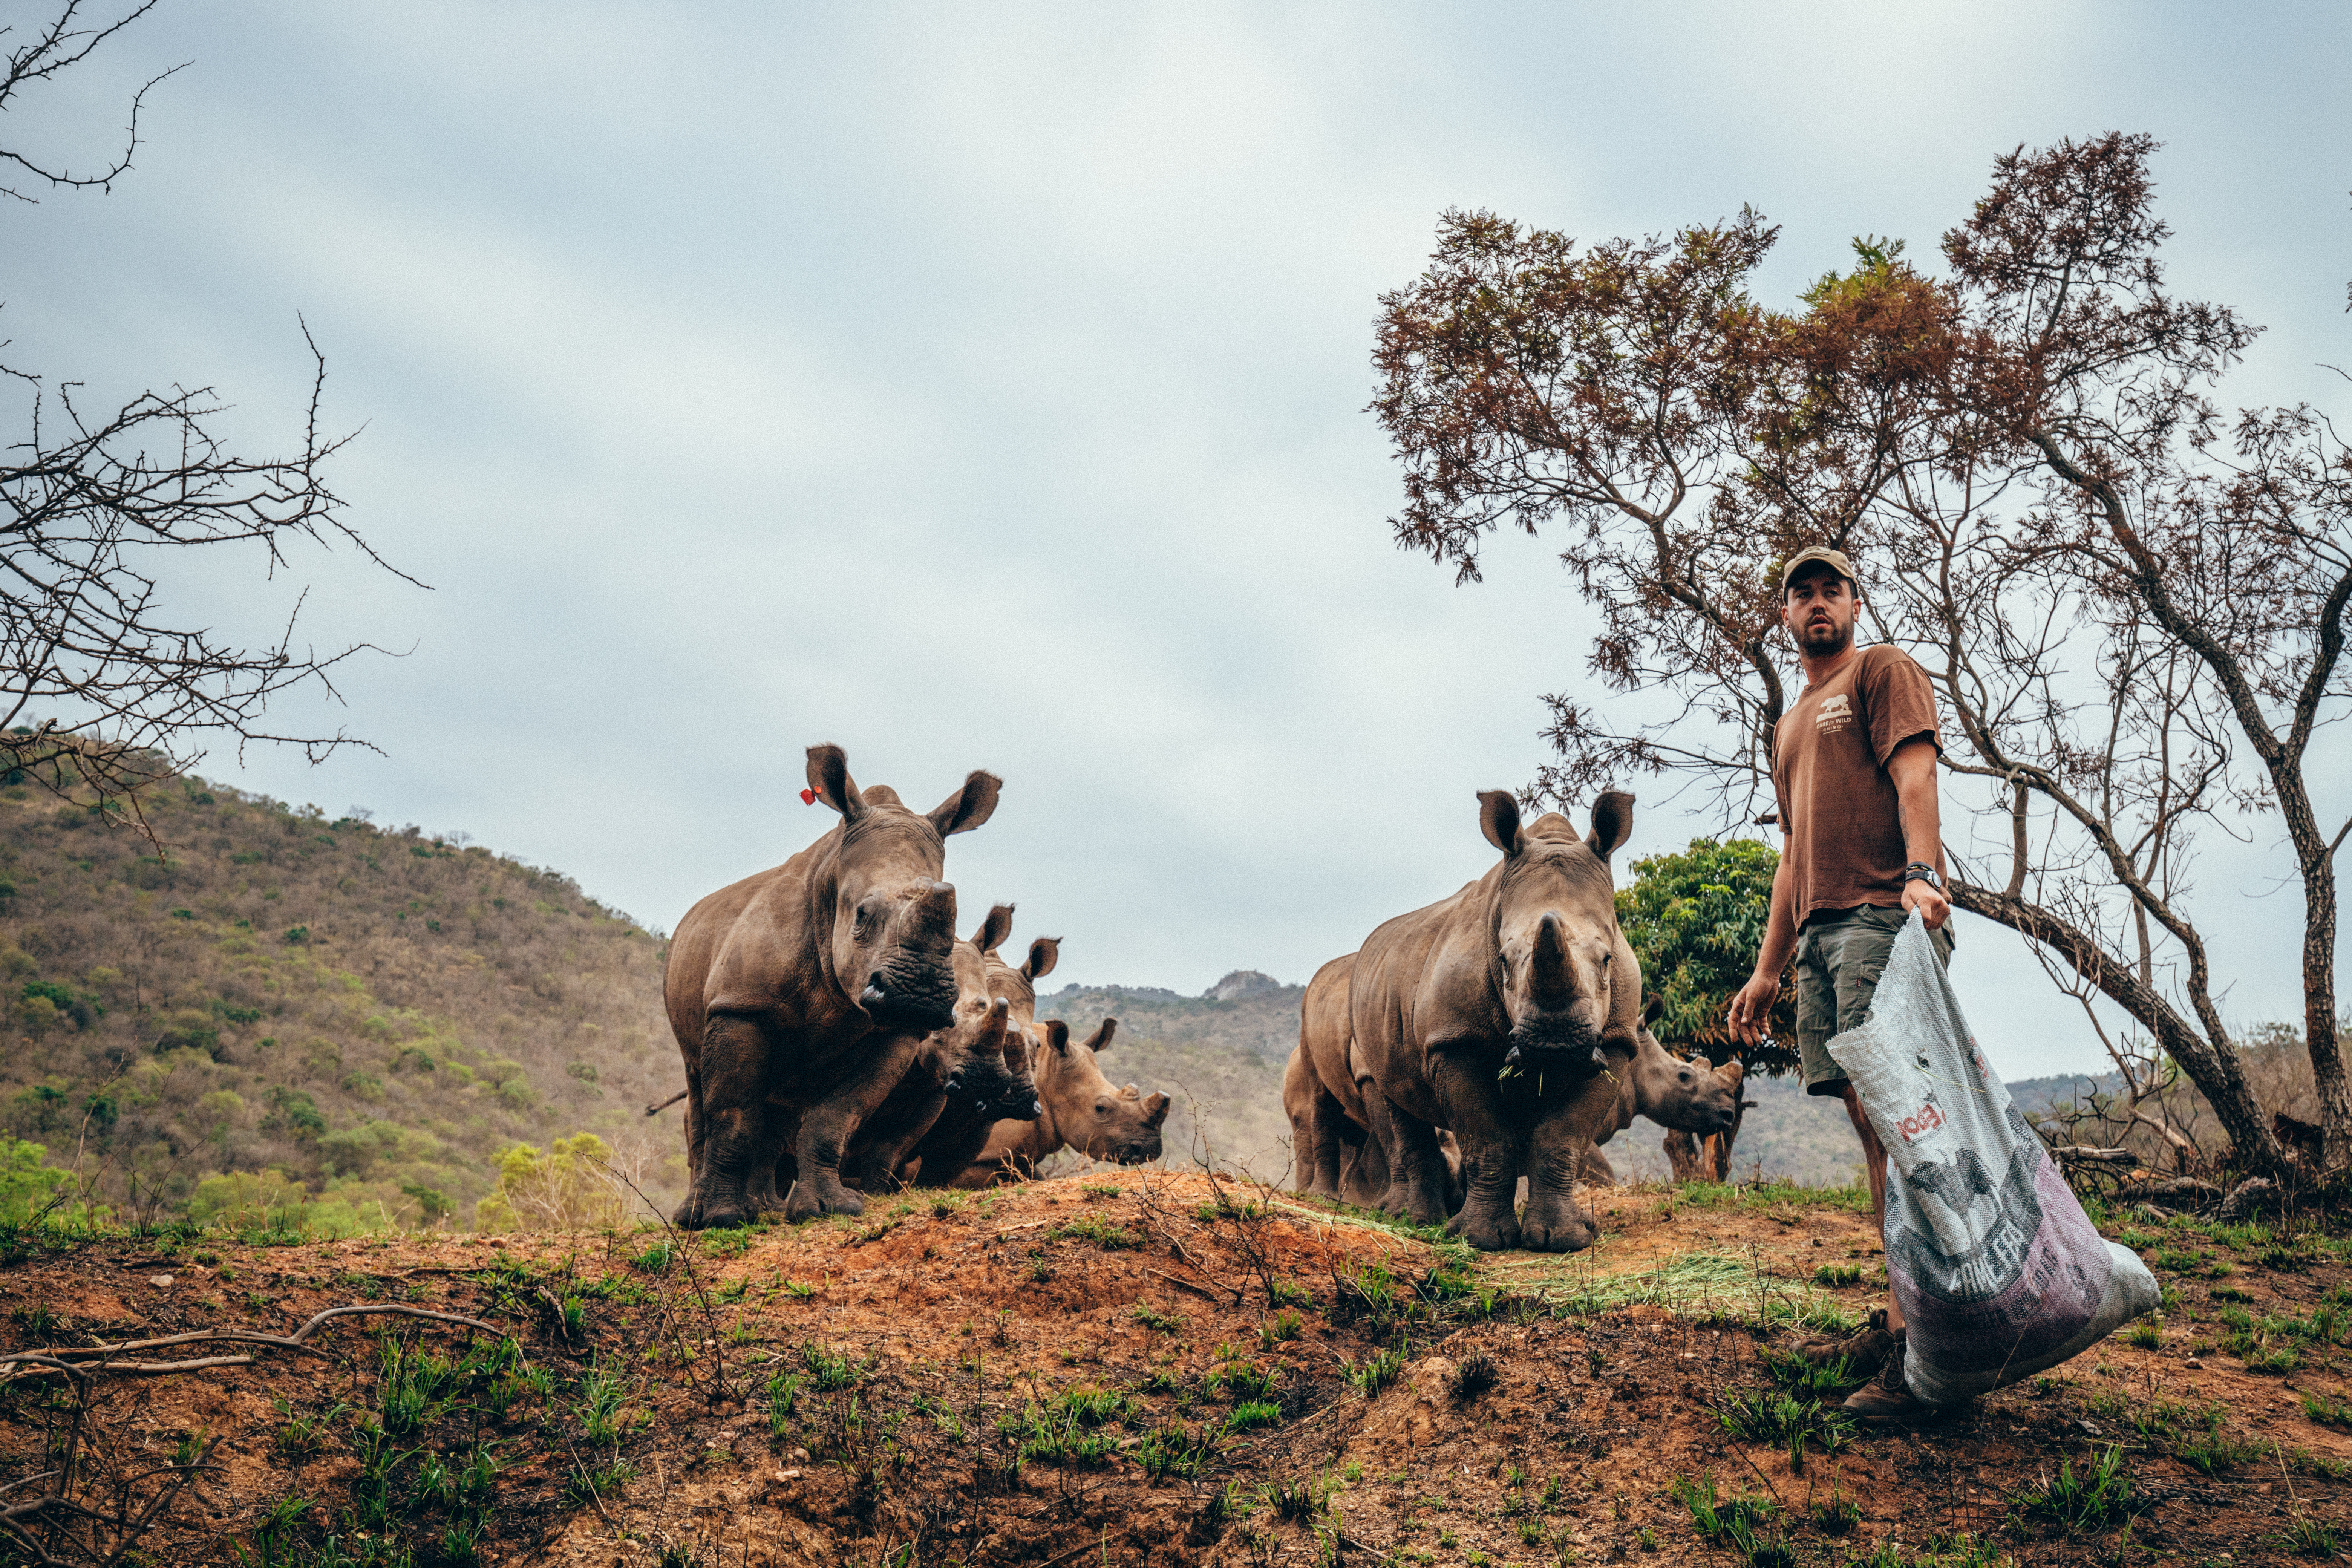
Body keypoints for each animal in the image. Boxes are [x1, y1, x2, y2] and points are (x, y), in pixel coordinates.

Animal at [662, 744, 1000, 1228]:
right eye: (861, 915)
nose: (918, 995)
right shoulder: (741, 1006)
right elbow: (732, 1113)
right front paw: (721, 1218)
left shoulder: (895, 1032)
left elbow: (838, 1115)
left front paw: (829, 1208)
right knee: (697, 1084)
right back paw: (697, 1215)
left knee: (783, 1100)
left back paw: (767, 1208)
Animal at [1351, 791, 1640, 1251]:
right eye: (1503, 960)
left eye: (1608, 960)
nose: (1555, 1043)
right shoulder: (1454, 1039)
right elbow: (1486, 1138)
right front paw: (1479, 1239)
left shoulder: (1616, 1042)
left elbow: (1563, 1138)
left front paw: (1563, 1239)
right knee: (1394, 1100)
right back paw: (1417, 1220)